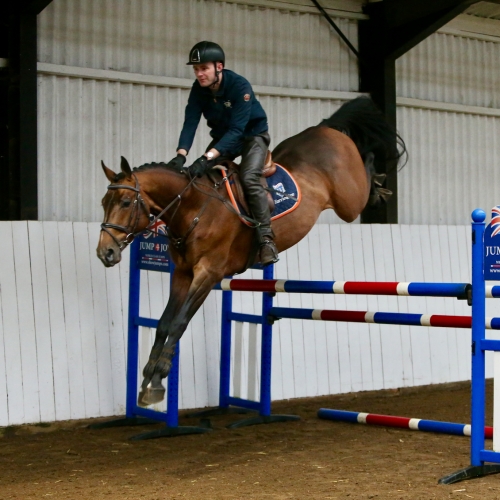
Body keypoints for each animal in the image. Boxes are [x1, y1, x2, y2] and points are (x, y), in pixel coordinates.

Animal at [97, 96, 406, 407]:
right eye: (104, 202)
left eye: (125, 202)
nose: (105, 253)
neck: (193, 206)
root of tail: (326, 128)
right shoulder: (183, 273)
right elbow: (163, 323)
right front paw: (148, 379)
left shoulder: (208, 274)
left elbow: (179, 323)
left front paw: (159, 379)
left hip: (349, 202)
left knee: (365, 172)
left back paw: (378, 182)